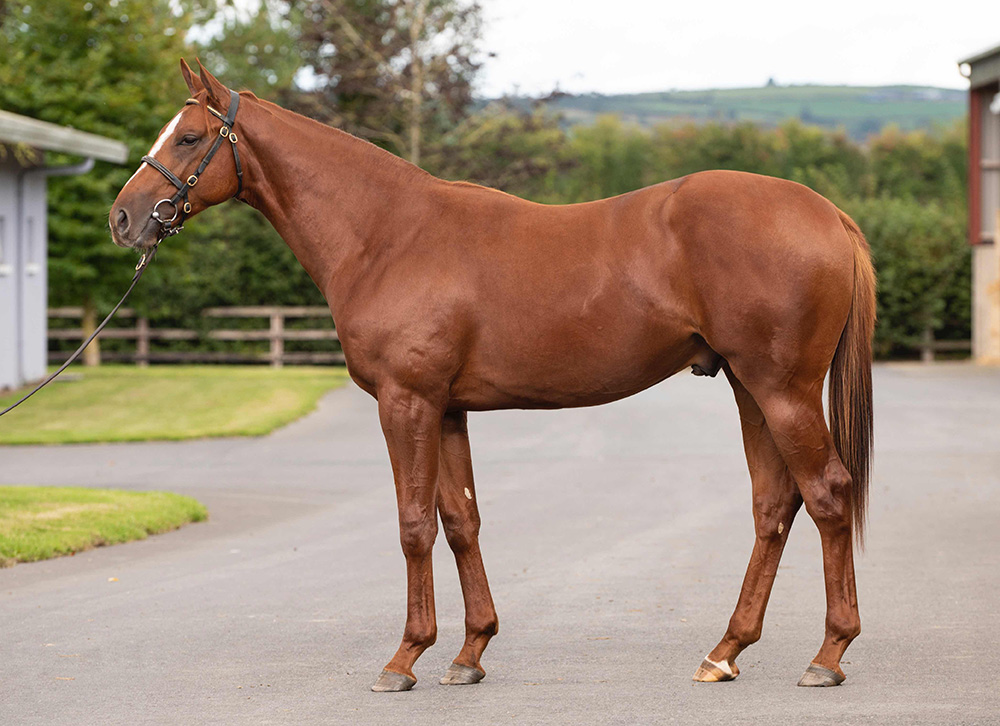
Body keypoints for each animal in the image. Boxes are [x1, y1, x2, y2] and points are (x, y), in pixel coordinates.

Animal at [111, 59, 876, 692]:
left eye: (188, 138)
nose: (123, 219)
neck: (388, 234)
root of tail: (826, 213)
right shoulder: (446, 409)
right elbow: (461, 521)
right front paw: (469, 652)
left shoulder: (406, 403)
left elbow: (413, 523)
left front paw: (404, 658)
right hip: (751, 389)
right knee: (774, 505)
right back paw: (725, 652)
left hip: (783, 390)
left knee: (828, 494)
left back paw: (829, 655)